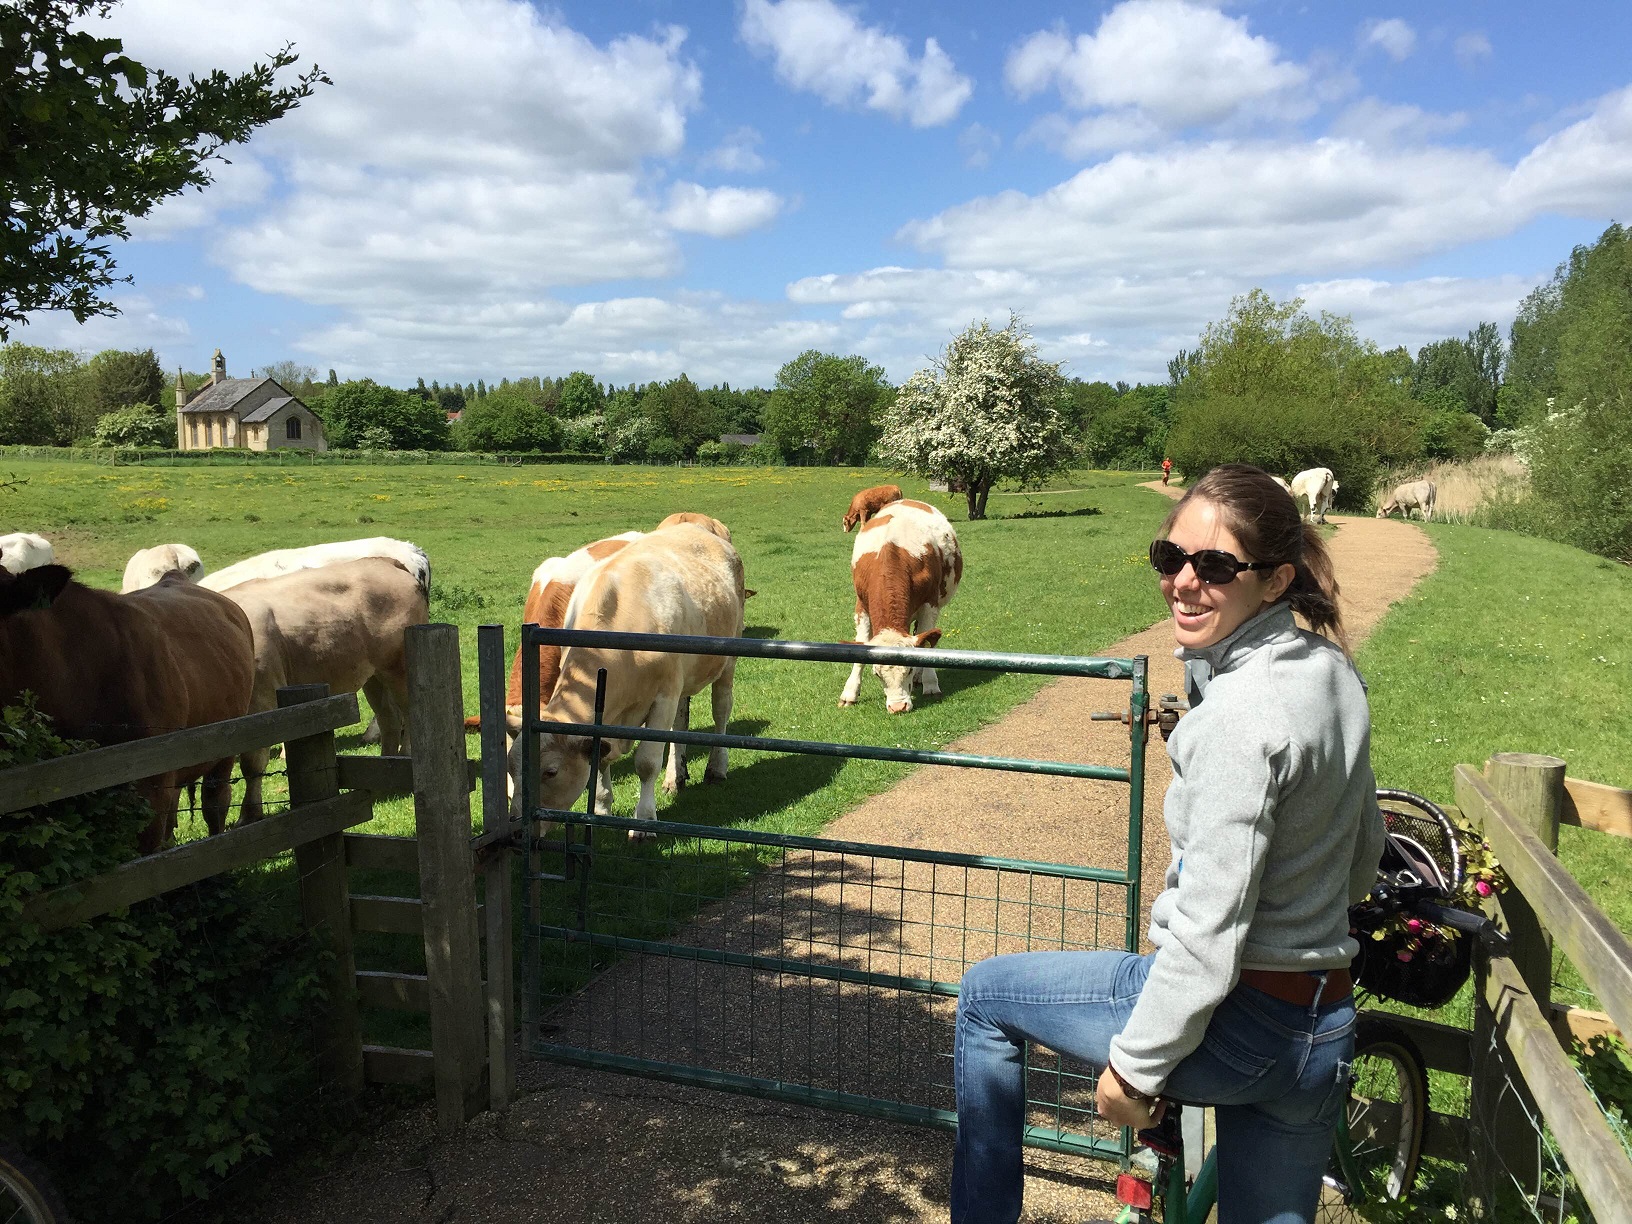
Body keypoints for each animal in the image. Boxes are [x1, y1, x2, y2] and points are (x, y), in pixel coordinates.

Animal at [225, 558, 427, 825]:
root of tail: (384, 562)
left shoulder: (261, 699)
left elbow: (252, 764)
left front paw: (249, 815)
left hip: (398, 667)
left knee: (409, 716)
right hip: (373, 676)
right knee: (389, 720)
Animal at [502, 528, 747, 835]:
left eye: (551, 771)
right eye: (511, 768)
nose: (515, 830)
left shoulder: (664, 696)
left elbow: (647, 762)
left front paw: (644, 820)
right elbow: (601, 759)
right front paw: (600, 809)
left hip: (729, 657)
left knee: (721, 708)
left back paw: (716, 767)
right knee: (680, 722)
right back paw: (674, 777)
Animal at [842, 499, 953, 714]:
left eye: (908, 669)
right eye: (877, 674)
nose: (898, 707)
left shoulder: (930, 605)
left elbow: (928, 645)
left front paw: (930, 684)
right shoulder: (861, 606)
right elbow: (860, 649)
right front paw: (849, 693)